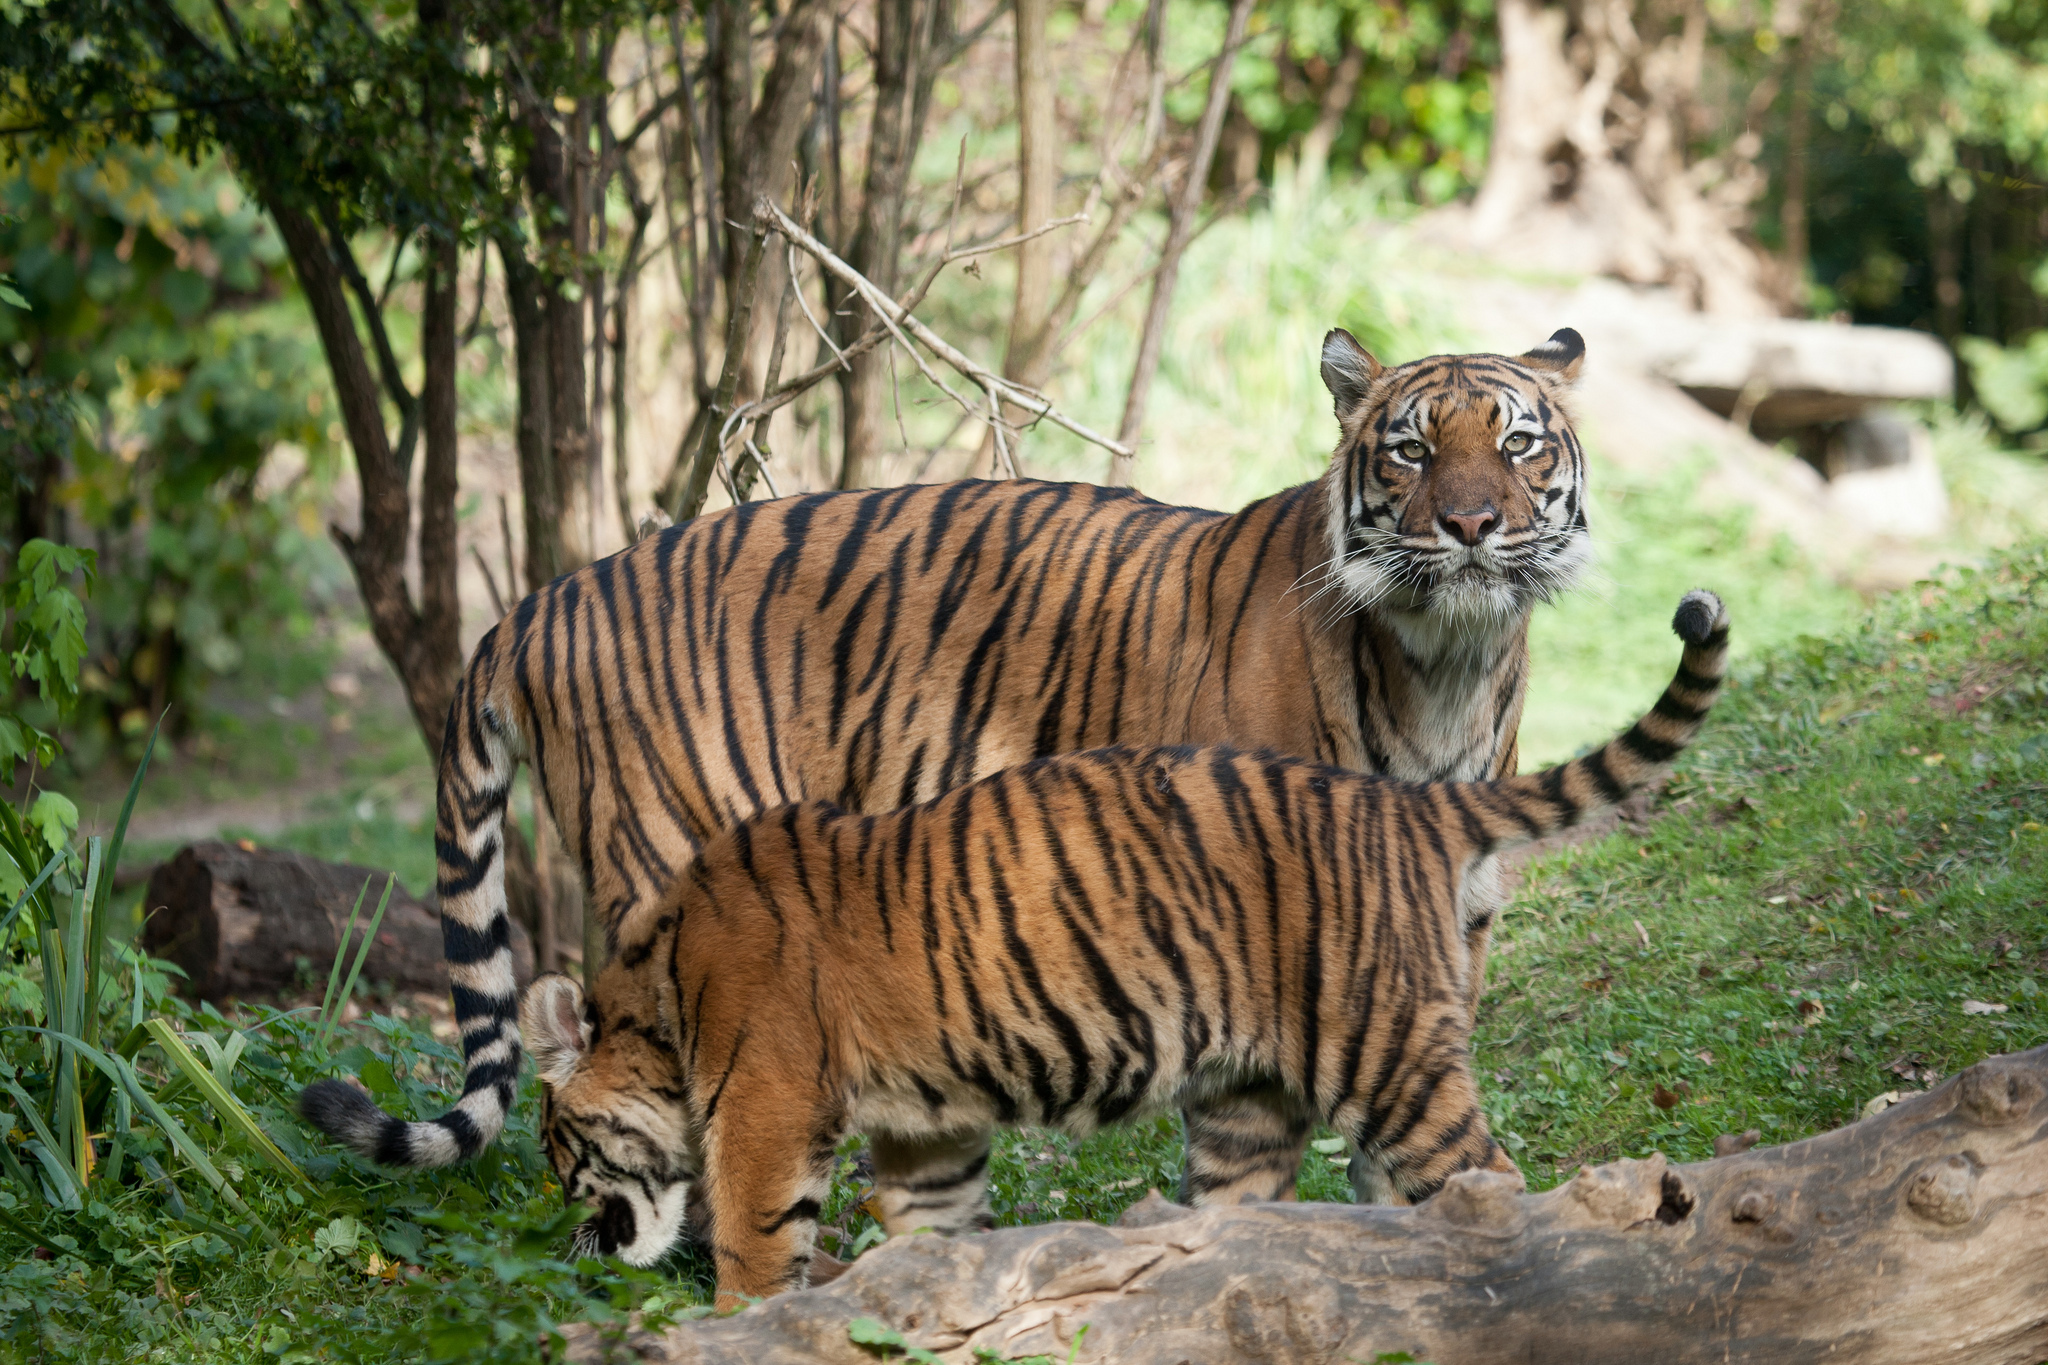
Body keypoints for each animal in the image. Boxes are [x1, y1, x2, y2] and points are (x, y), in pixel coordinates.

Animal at [299, 325, 1597, 1178]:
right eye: (1409, 452)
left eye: (1518, 444)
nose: (1471, 526)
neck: (1447, 666)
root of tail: (542, 598)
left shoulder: (1444, 918)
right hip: (665, 859)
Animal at [516, 593, 1728, 1309]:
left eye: (559, 1148)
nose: (574, 1239)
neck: (661, 989)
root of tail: (1406, 803)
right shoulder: (926, 1129)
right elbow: (933, 1237)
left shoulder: (766, 1114)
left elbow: (755, 1252)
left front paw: (734, 1328)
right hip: (1247, 1101)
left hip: (1384, 1052)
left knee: (1492, 1184)